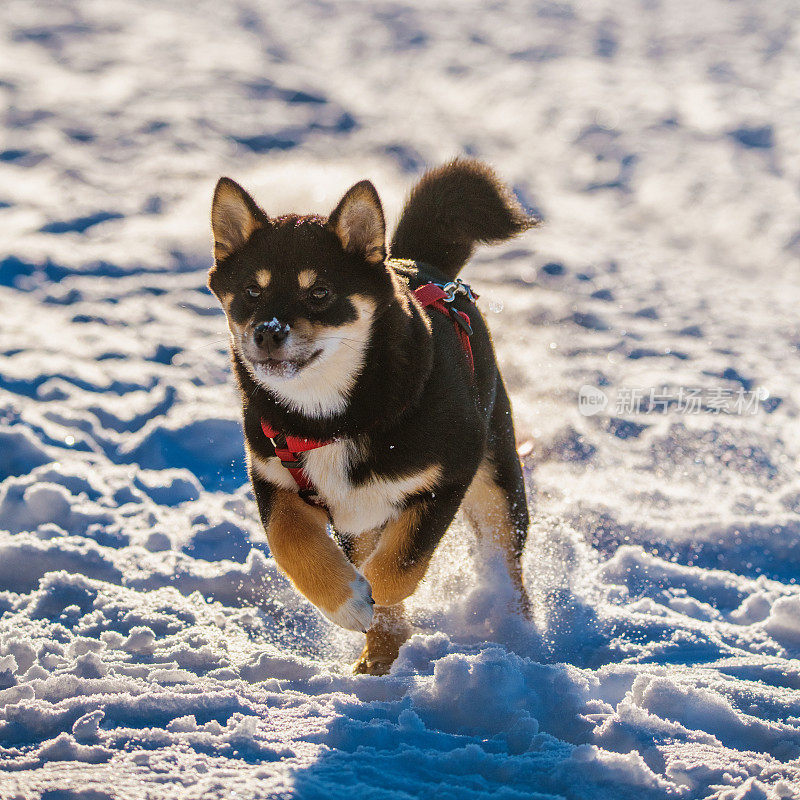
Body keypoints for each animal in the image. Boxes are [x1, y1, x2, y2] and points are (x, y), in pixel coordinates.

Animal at [209, 159, 536, 672]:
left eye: (320, 292)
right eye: (251, 291)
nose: (267, 333)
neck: (330, 420)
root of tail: (412, 262)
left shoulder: (450, 474)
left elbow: (399, 566)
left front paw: (371, 598)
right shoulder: (272, 477)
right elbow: (290, 543)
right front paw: (348, 603)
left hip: (497, 471)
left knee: (506, 559)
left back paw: (513, 629)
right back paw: (378, 658)